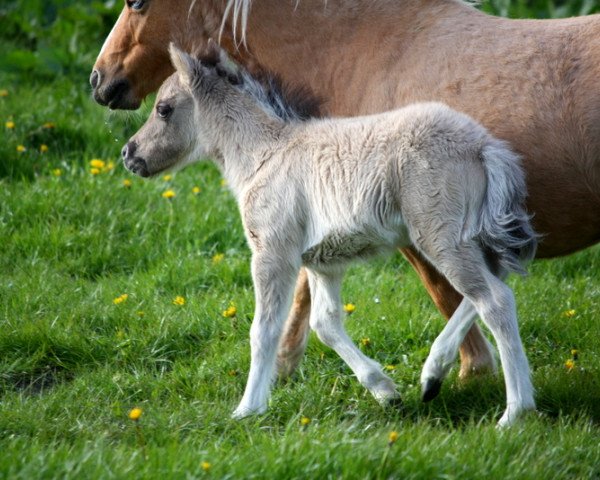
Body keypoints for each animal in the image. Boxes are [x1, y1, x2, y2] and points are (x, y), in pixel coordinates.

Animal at [89, 0, 600, 386]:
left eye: (137, 1)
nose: (99, 80)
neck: (364, 54)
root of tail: (484, 148)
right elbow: (310, 295)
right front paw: (287, 369)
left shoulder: (406, 230)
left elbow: (451, 296)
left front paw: (458, 374)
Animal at [124, 45, 536, 426]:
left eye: (163, 109)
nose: (129, 153)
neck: (263, 155)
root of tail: (484, 146)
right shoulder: (323, 262)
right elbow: (325, 324)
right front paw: (385, 391)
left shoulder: (272, 252)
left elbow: (264, 329)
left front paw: (248, 409)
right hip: (472, 235)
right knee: (495, 283)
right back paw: (431, 377)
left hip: (441, 236)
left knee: (495, 299)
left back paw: (515, 412)